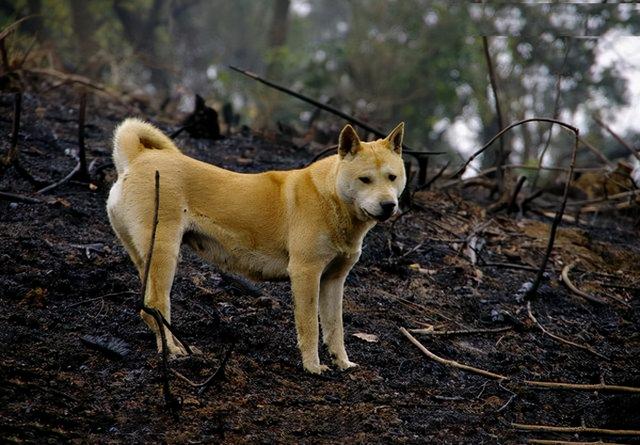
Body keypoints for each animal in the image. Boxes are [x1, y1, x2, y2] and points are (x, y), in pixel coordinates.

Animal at [105, 118, 404, 372]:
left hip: (145, 258)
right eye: (365, 179)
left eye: (392, 177)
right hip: (164, 253)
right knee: (156, 304)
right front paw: (312, 367)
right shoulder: (305, 273)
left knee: (146, 309)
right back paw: (172, 350)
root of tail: (137, 157)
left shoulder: (334, 280)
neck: (330, 197)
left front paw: (342, 363)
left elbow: (335, 327)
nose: (389, 205)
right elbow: (310, 326)